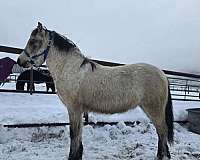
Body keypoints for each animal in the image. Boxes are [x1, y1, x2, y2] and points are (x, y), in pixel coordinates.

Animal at [17, 22, 173, 160]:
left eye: (33, 41)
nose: (20, 60)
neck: (70, 69)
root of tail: (162, 74)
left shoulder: (73, 108)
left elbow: (74, 134)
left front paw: (72, 156)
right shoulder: (79, 110)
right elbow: (79, 134)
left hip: (153, 109)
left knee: (162, 130)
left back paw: (161, 156)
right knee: (161, 131)